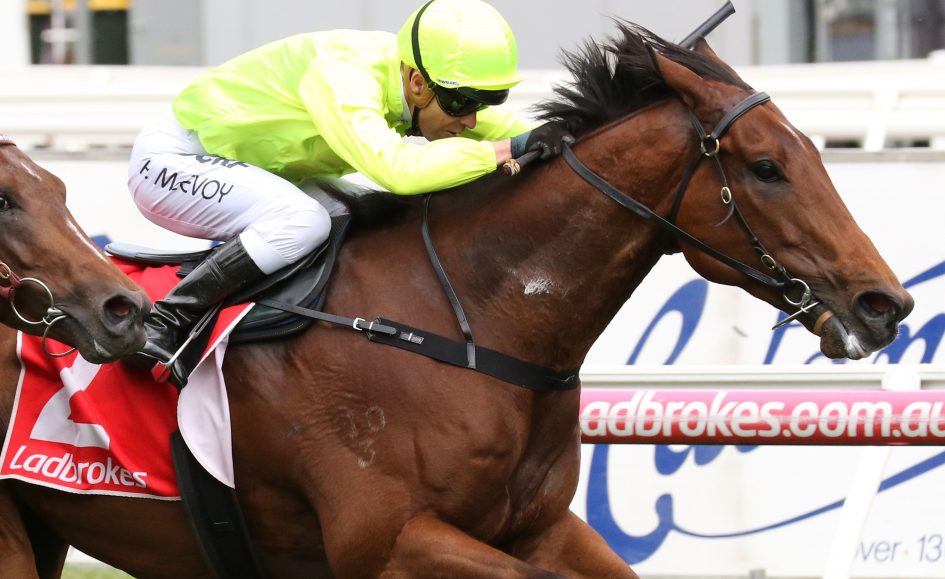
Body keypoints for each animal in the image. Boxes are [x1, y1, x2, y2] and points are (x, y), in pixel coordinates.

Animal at [0, 24, 913, 578]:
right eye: (765, 166)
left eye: (813, 151)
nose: (884, 303)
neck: (465, 324)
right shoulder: (391, 541)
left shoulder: (542, 527)